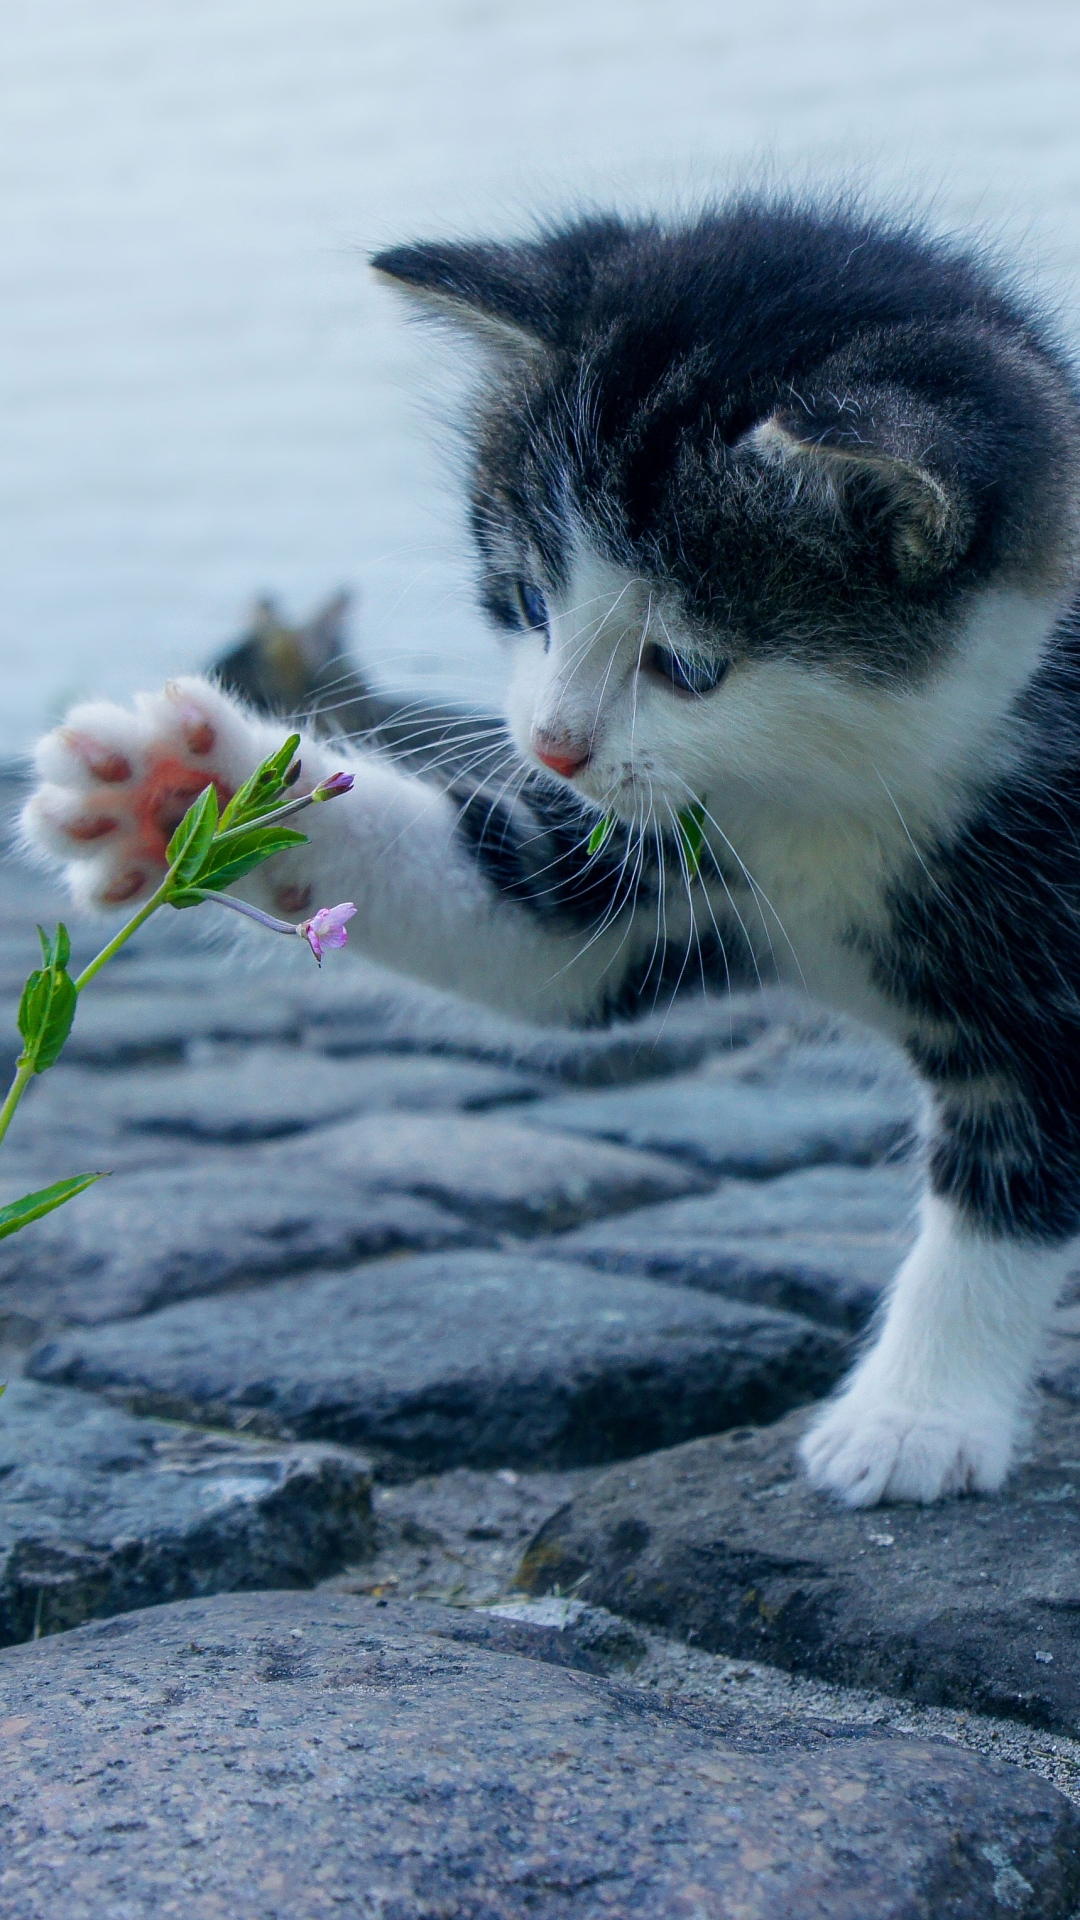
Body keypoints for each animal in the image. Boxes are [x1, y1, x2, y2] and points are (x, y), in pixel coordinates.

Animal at [21, 198, 1076, 1512]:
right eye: (526, 600)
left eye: (689, 666)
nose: (551, 746)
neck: (837, 789)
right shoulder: (668, 854)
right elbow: (529, 937)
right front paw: (182, 788)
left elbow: (1009, 1180)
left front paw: (913, 1419)